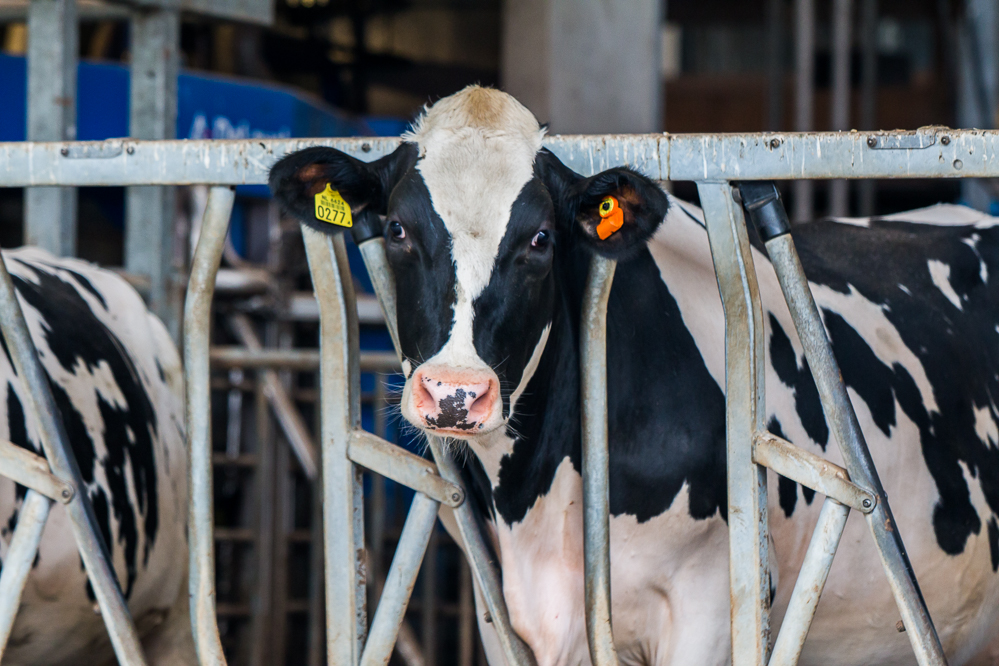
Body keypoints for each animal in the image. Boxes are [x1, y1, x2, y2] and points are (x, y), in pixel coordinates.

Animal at [270, 88, 999, 664]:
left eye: (539, 240)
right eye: (396, 228)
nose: (455, 392)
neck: (537, 499)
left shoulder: (707, 608)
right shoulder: (502, 613)